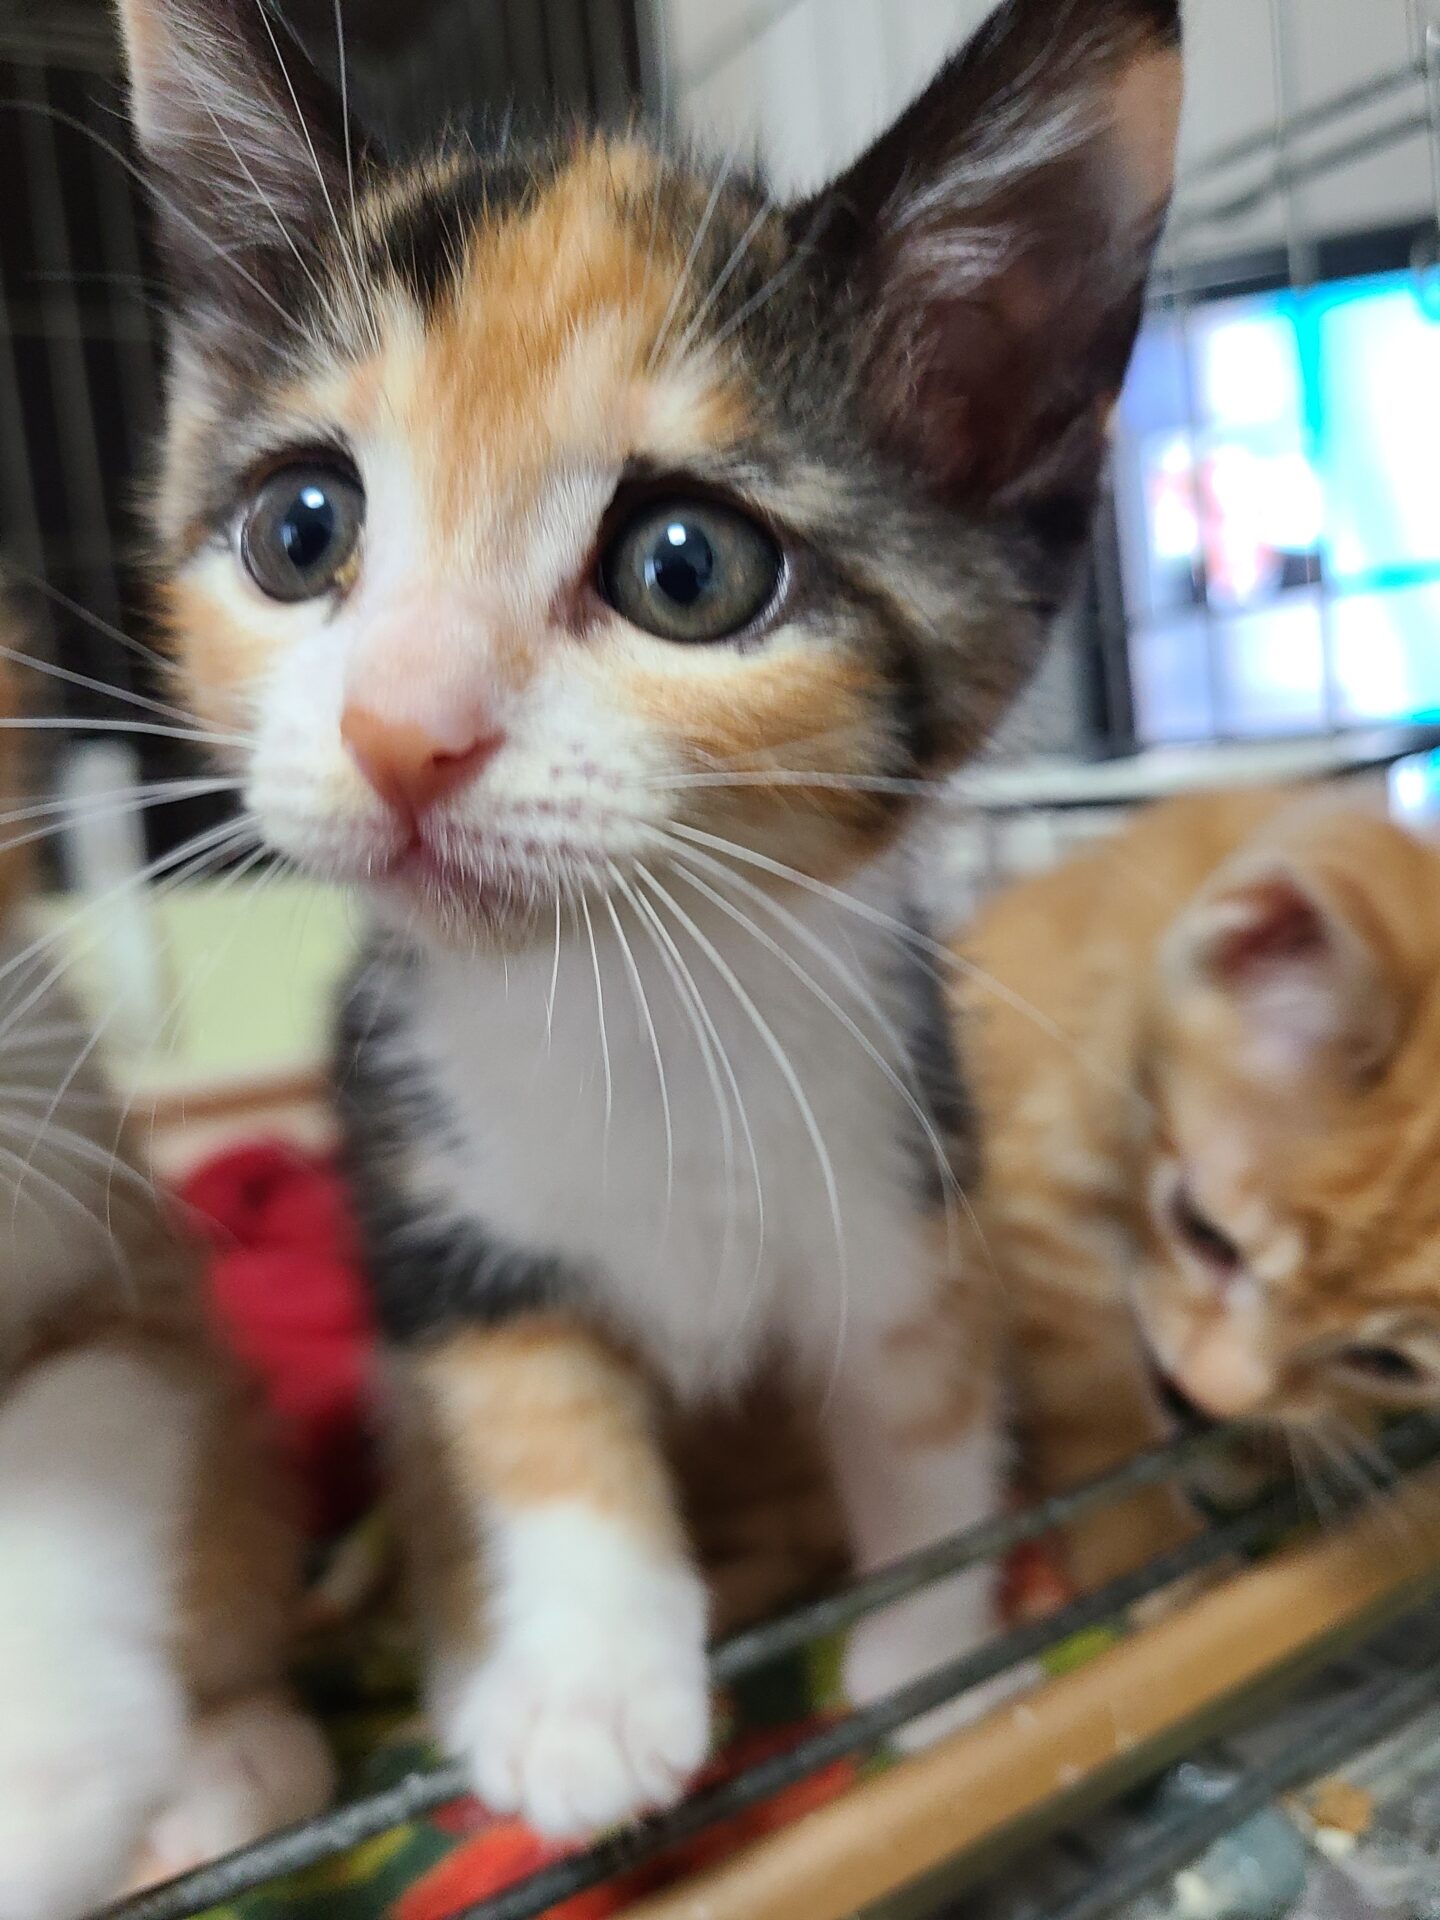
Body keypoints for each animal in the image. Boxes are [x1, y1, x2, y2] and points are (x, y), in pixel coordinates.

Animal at [116, 0, 1182, 1839]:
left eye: (688, 568)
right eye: (299, 529)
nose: (400, 728)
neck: (625, 997)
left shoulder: (906, 1168)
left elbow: (920, 1401)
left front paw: (935, 1641)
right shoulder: (432, 1204)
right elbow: (529, 1418)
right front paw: (585, 1691)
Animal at [957, 784, 1440, 1593]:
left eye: (1386, 1364)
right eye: (1203, 1232)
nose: (1209, 1397)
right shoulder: (1029, 1198)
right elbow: (1091, 1402)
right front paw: (1139, 1547)